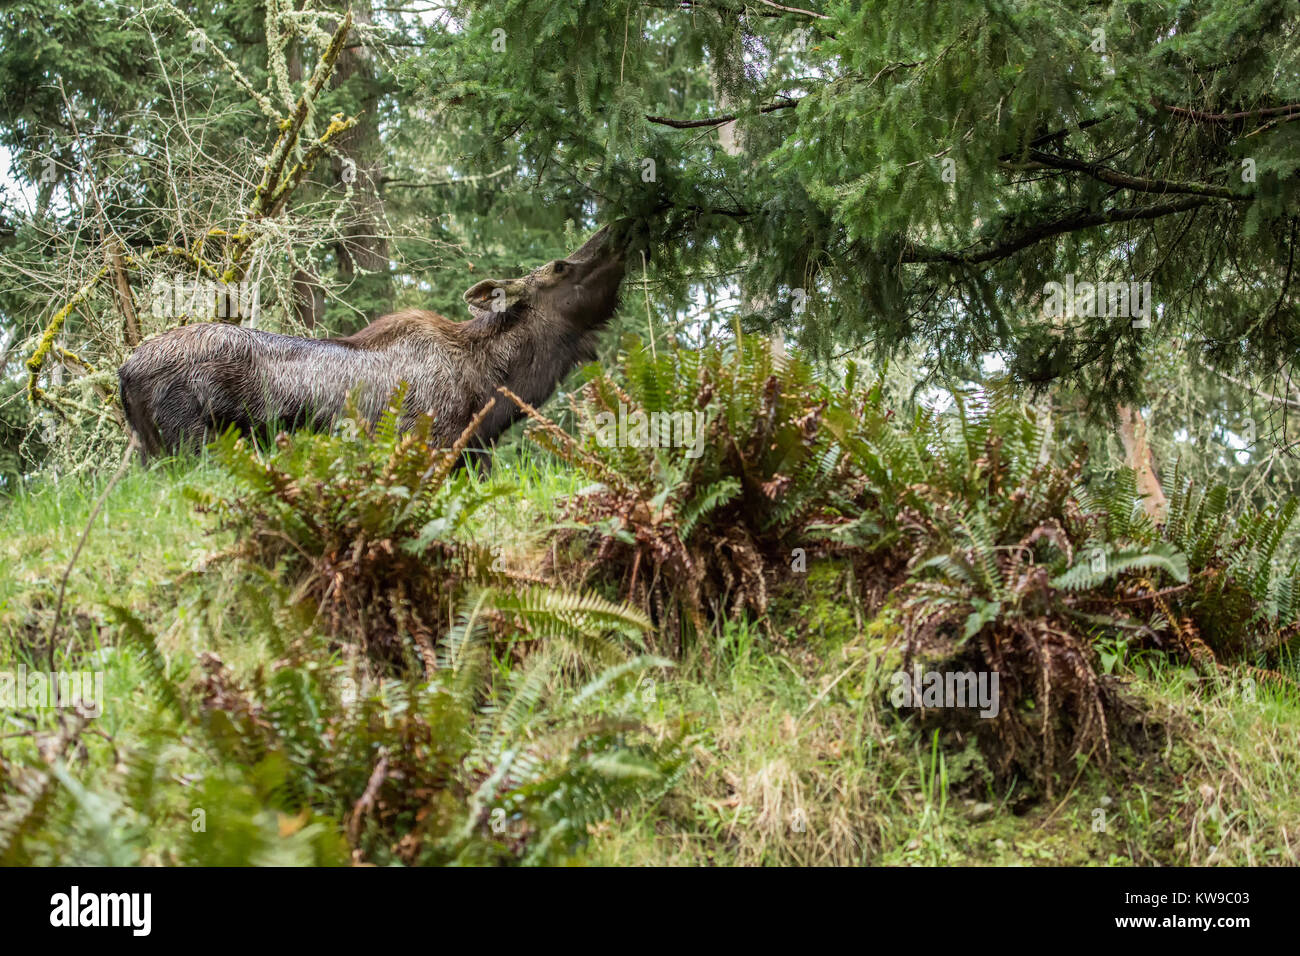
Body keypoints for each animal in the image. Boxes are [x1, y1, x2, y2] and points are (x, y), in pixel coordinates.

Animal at [119, 223, 631, 463]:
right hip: (191, 445)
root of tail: (123, 373)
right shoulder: (432, 444)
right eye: (561, 266)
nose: (620, 229)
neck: (493, 387)